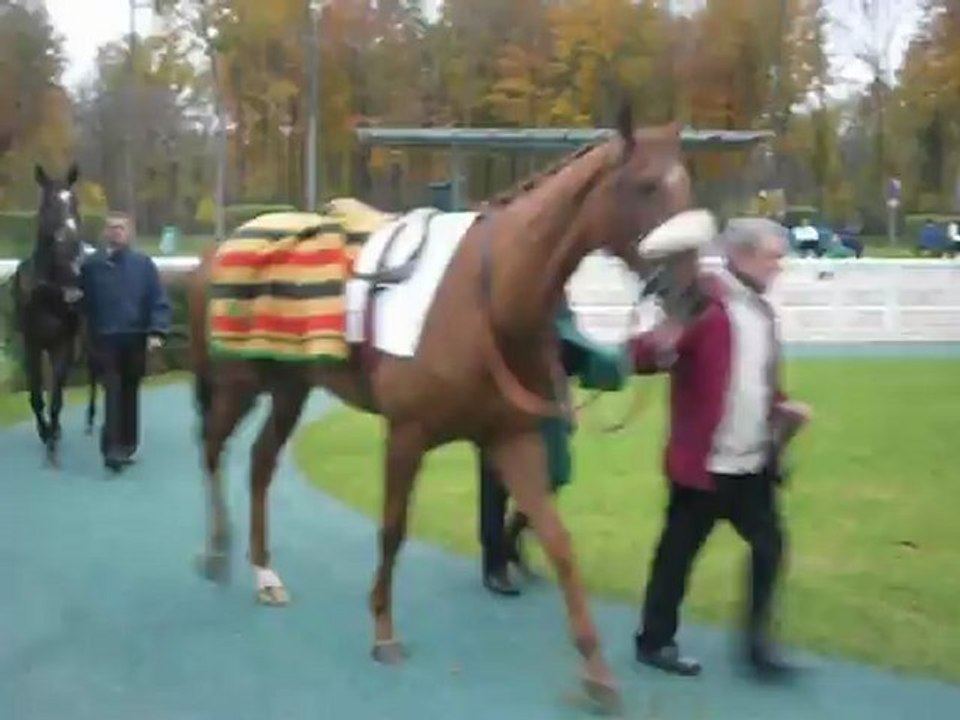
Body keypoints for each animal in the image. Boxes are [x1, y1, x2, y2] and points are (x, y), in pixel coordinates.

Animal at [185, 103, 697, 712]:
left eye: (687, 186)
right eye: (645, 186)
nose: (694, 292)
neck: (486, 298)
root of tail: (224, 244)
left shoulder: (512, 438)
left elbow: (559, 542)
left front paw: (597, 673)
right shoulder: (407, 433)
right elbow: (392, 528)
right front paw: (383, 632)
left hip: (292, 385)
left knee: (261, 462)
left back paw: (265, 573)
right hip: (240, 380)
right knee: (211, 446)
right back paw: (216, 552)